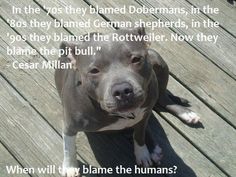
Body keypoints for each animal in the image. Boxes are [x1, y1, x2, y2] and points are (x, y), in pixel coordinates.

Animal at [54, 26, 199, 177]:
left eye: (136, 59)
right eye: (94, 71)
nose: (122, 90)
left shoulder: (144, 115)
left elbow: (139, 136)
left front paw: (142, 154)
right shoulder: (70, 126)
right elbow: (69, 148)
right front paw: (70, 167)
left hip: (157, 60)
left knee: (162, 99)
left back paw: (184, 115)